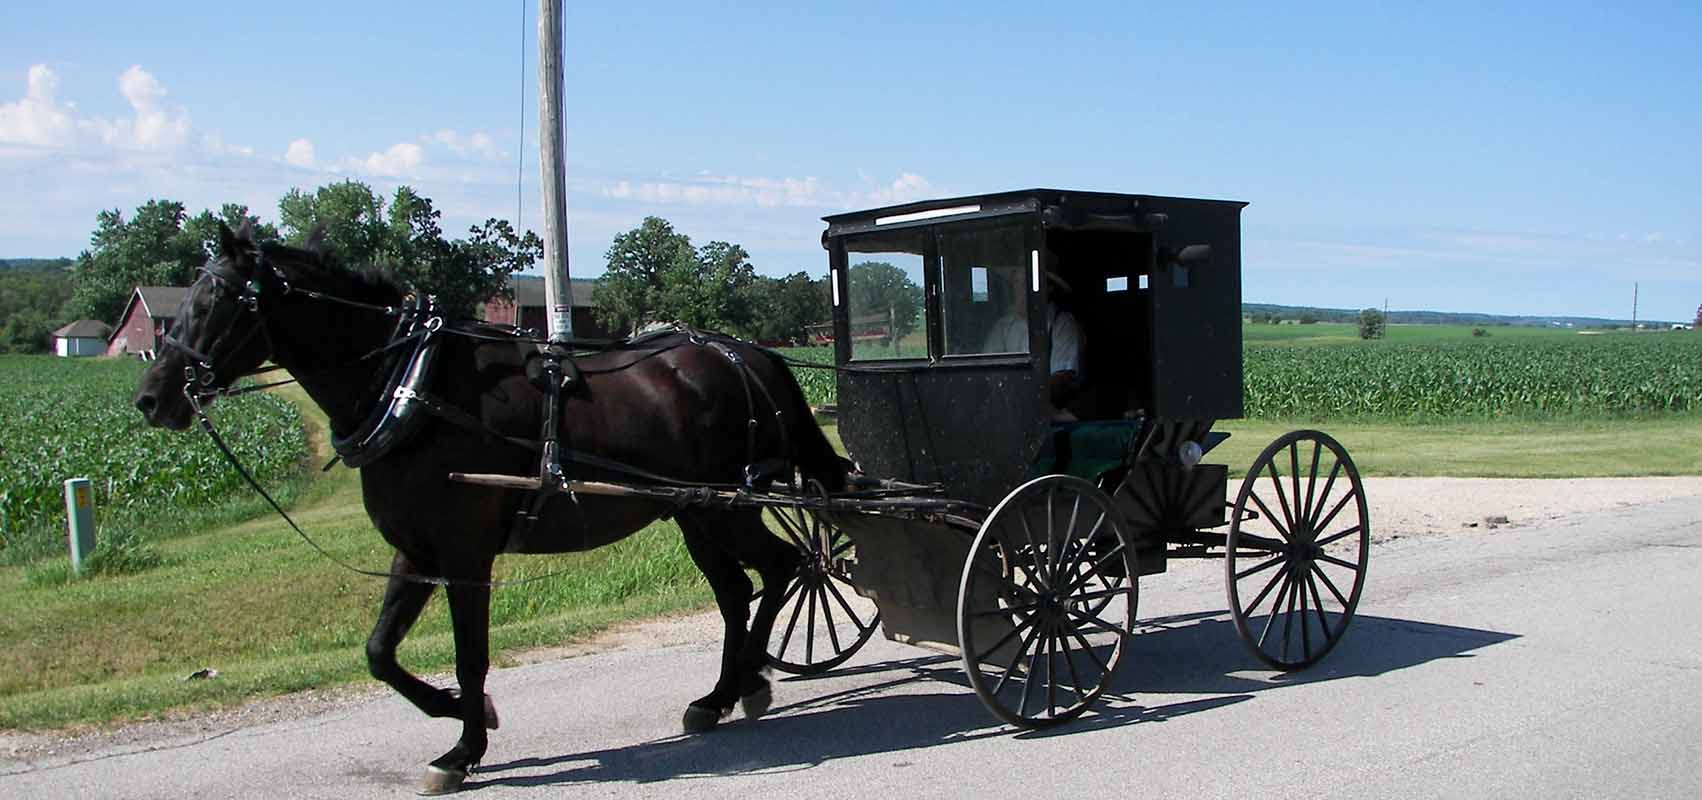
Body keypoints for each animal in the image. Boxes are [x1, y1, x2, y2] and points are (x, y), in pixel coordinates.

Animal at [132, 221, 851, 789]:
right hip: (696, 511)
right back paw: (728, 691)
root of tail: (745, 354)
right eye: (186, 300)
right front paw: (460, 713)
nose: (151, 397)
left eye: (217, 299)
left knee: (784, 569)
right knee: (740, 589)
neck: (416, 389)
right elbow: (379, 651)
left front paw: (462, 748)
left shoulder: (465, 554)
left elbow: (469, 654)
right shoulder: (415, 551)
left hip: (725, 507)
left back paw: (744, 678)